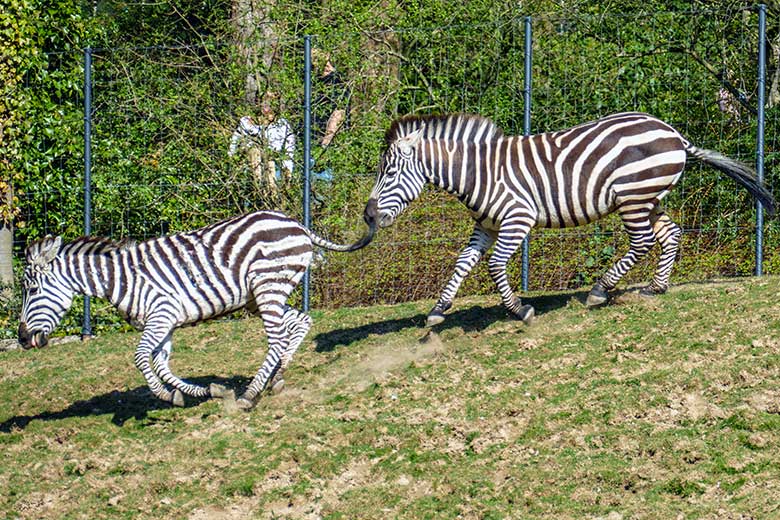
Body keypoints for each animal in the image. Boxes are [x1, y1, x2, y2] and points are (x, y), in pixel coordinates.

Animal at [16, 211, 374, 410]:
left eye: (32, 290)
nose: (21, 339)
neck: (123, 279)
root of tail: (296, 223)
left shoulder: (161, 314)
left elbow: (141, 359)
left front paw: (166, 395)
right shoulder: (163, 323)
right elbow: (162, 365)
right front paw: (203, 392)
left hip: (267, 285)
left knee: (277, 338)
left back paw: (251, 395)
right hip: (259, 296)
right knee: (300, 321)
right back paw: (277, 377)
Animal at [362, 112, 776, 328]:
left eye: (389, 173)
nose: (368, 215)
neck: (478, 173)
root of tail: (673, 133)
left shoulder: (517, 218)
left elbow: (495, 266)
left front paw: (520, 311)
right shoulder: (486, 225)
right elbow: (463, 263)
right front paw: (437, 310)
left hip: (632, 196)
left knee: (642, 241)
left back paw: (599, 291)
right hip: (649, 196)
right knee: (670, 234)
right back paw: (655, 288)